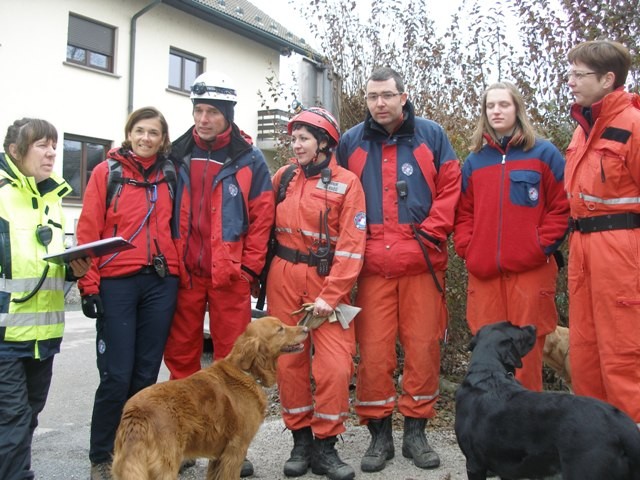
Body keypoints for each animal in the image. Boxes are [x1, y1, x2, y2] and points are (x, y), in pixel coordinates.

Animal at [111, 316, 308, 480]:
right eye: (280, 329)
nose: (306, 328)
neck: (247, 371)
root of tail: (136, 414)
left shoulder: (218, 457)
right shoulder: (235, 450)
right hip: (165, 468)